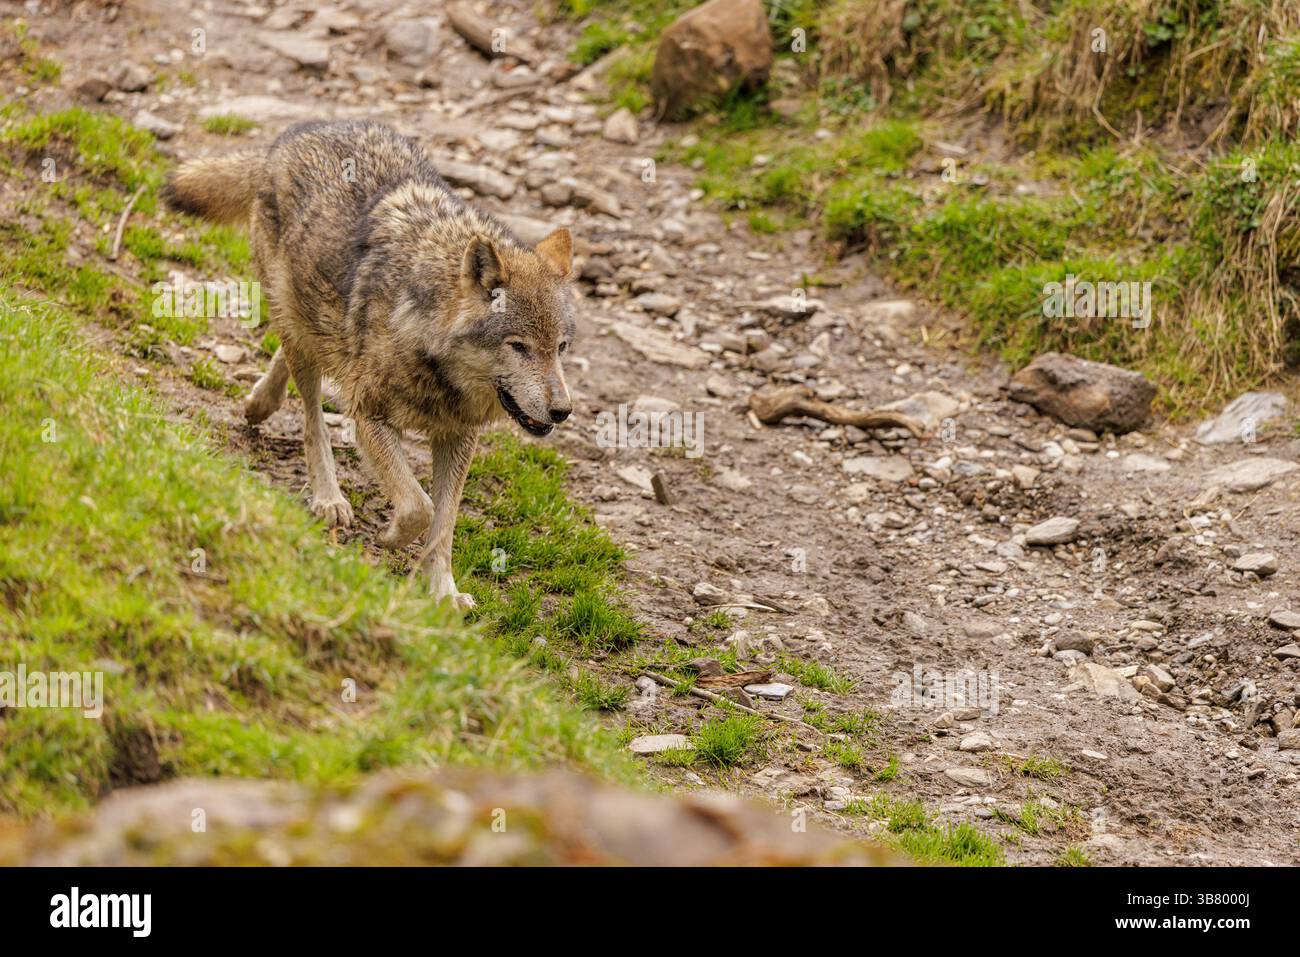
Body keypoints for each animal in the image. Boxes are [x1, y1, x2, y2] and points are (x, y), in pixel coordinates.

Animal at [163, 120, 576, 610]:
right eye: (519, 346)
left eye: (561, 347)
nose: (562, 411)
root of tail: (297, 133)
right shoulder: (369, 416)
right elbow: (419, 507)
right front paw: (391, 537)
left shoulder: (458, 437)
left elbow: (444, 524)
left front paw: (443, 593)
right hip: (301, 326)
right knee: (312, 418)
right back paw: (328, 497)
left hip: (313, 321)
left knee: (300, 354)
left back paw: (259, 404)